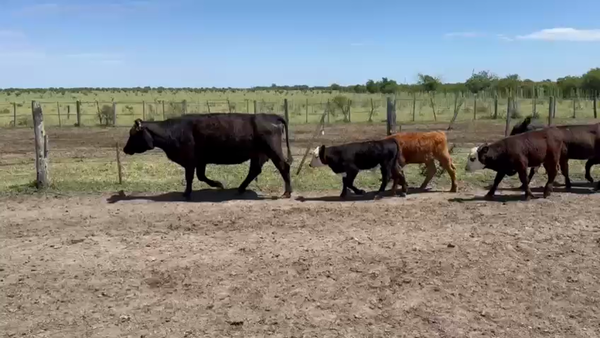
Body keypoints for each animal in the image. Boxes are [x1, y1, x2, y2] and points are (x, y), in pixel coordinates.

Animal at [122, 113, 292, 199]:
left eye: (132, 134)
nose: (125, 149)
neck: (173, 131)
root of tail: (271, 116)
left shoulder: (190, 160)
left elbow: (190, 177)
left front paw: (187, 193)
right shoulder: (200, 161)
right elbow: (201, 176)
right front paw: (218, 184)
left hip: (272, 150)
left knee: (283, 166)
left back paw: (287, 192)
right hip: (257, 154)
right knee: (254, 171)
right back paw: (240, 189)